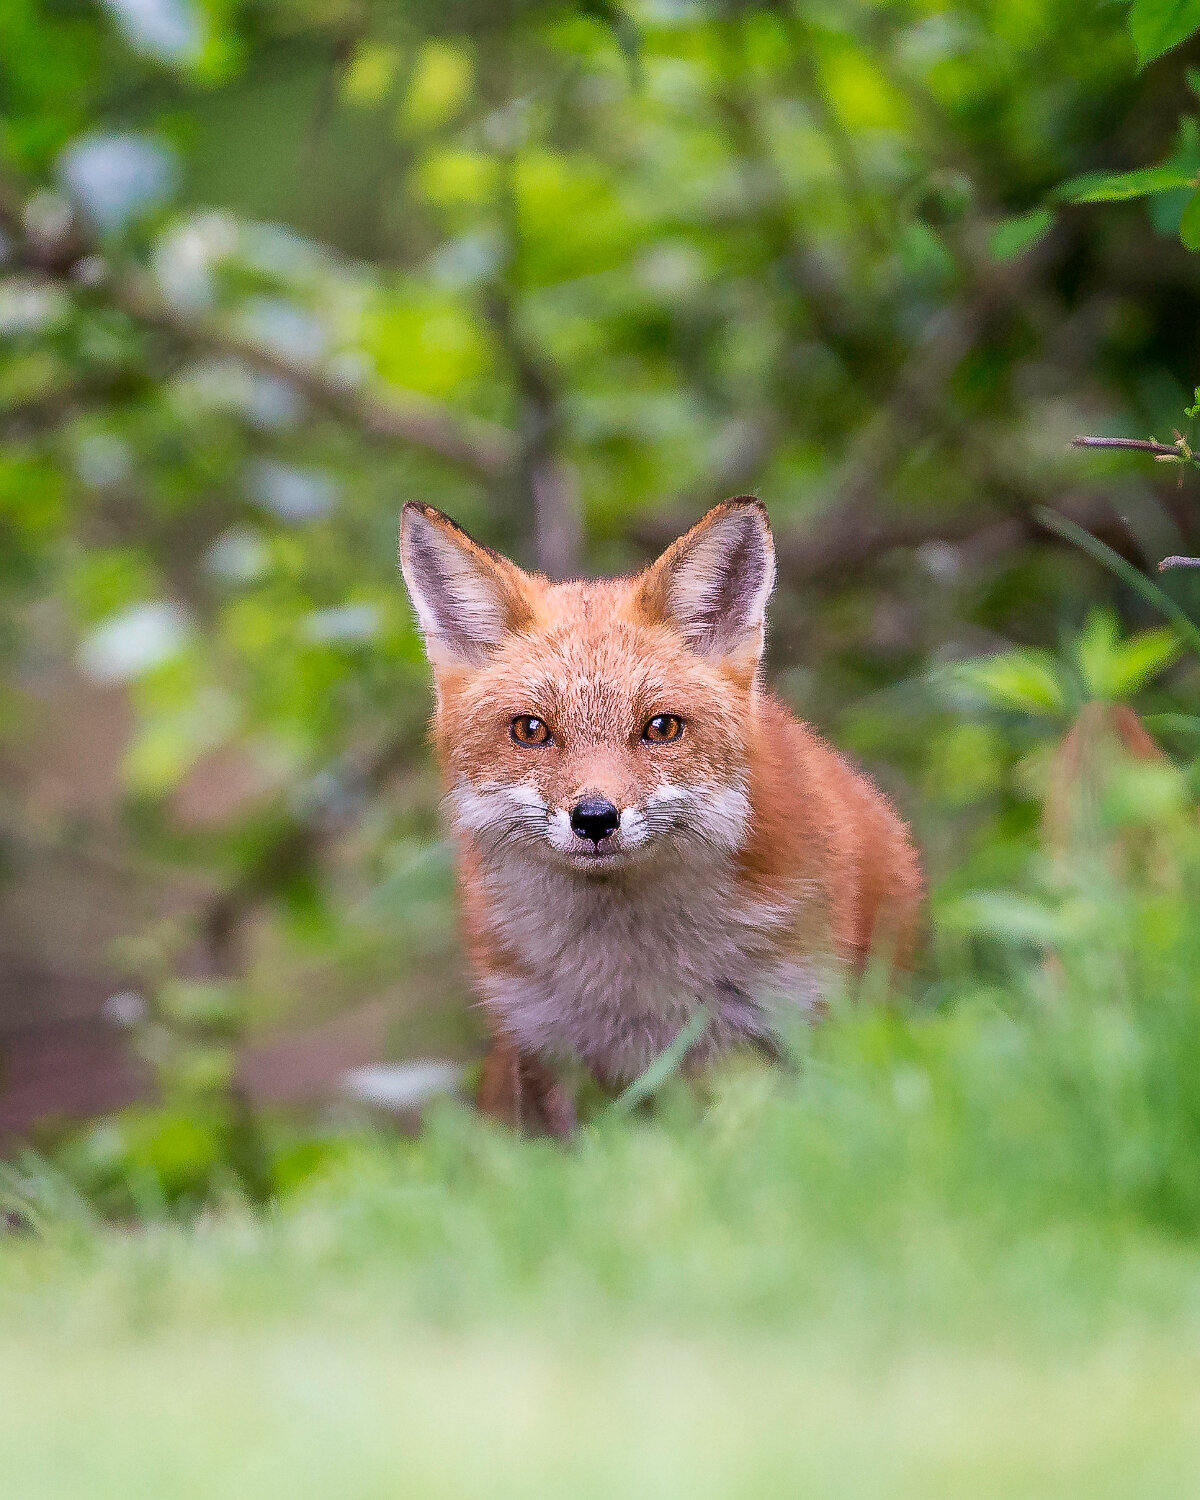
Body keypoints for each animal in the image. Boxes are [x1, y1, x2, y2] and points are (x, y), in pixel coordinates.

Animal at [399, 496, 922, 1134]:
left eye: (662, 727)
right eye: (531, 730)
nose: (595, 818)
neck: (634, 977)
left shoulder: (791, 1020)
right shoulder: (544, 1044)